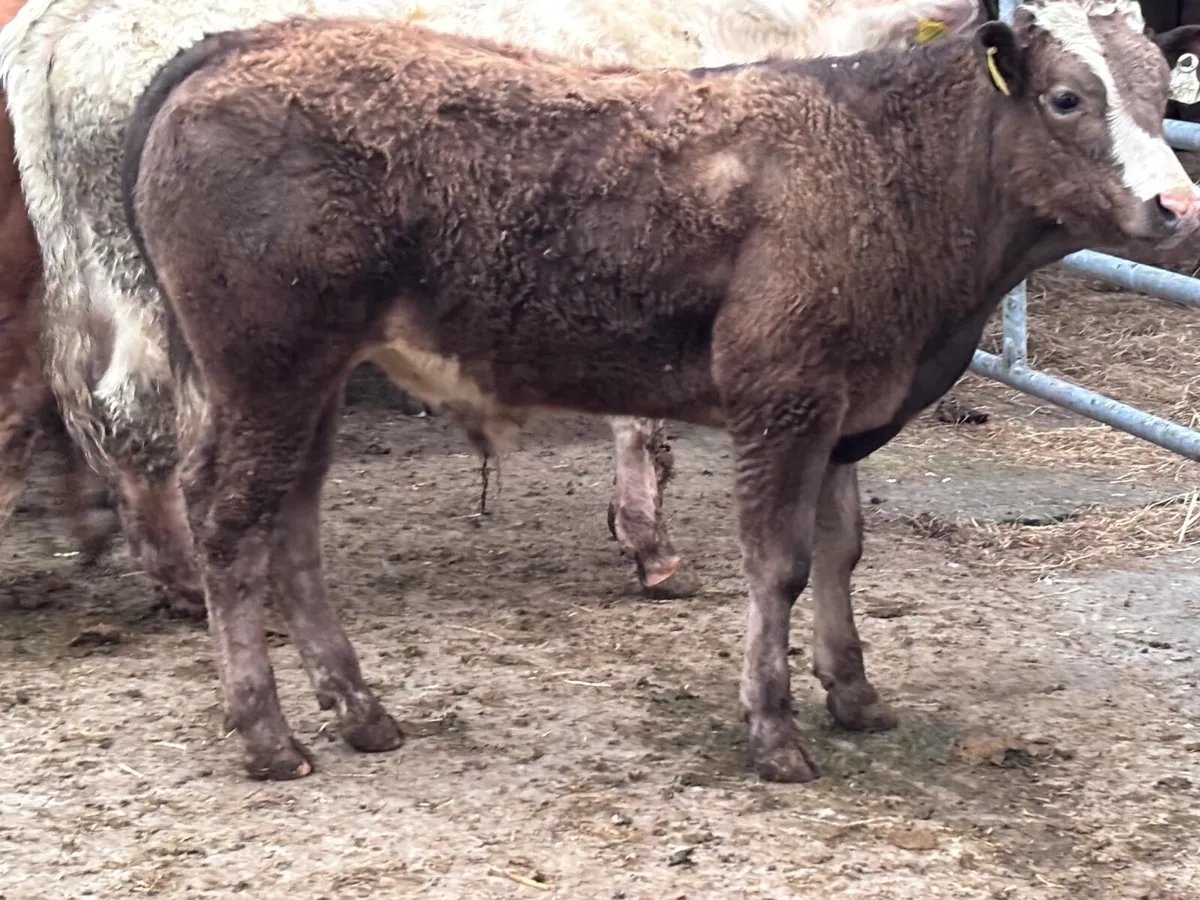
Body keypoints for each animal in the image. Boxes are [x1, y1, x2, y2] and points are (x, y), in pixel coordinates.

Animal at [0, 0, 985, 620]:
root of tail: (61, 16)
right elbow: (642, 422)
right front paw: (650, 546)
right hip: (158, 292)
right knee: (137, 414)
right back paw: (177, 580)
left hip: (83, 277)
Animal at [121, 0, 1200, 781]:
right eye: (1066, 98)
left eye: (1160, 96)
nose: (1176, 203)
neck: (884, 166)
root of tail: (239, 43)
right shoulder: (784, 398)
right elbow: (780, 564)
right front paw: (774, 731)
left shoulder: (847, 405)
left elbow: (844, 551)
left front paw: (853, 693)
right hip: (266, 365)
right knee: (229, 519)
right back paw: (268, 736)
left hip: (311, 377)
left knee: (291, 519)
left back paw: (360, 711)